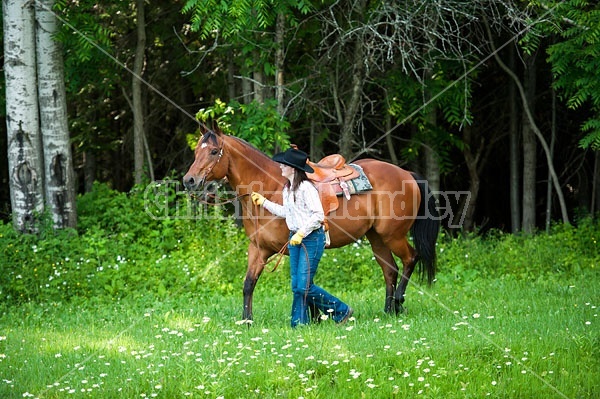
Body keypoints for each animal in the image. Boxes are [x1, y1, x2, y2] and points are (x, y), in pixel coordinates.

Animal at [180, 126, 438, 324]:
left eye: (214, 151)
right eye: (196, 151)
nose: (189, 180)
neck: (271, 186)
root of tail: (406, 174)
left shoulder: (293, 245)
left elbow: (304, 282)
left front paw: (312, 317)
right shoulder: (258, 248)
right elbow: (249, 284)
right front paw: (247, 321)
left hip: (392, 235)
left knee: (410, 259)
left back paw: (398, 303)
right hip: (376, 238)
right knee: (389, 269)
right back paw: (387, 311)